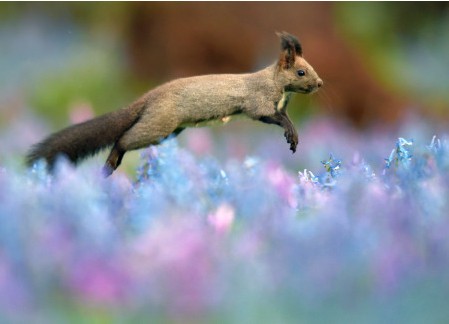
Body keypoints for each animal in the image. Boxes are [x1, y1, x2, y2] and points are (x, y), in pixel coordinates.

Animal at [26, 31, 322, 176]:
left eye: (310, 67)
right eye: (301, 72)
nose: (320, 84)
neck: (278, 86)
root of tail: (149, 97)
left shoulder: (280, 105)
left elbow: (285, 117)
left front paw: (294, 135)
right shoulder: (258, 101)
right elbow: (270, 116)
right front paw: (291, 133)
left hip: (168, 131)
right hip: (160, 124)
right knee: (123, 139)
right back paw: (110, 163)